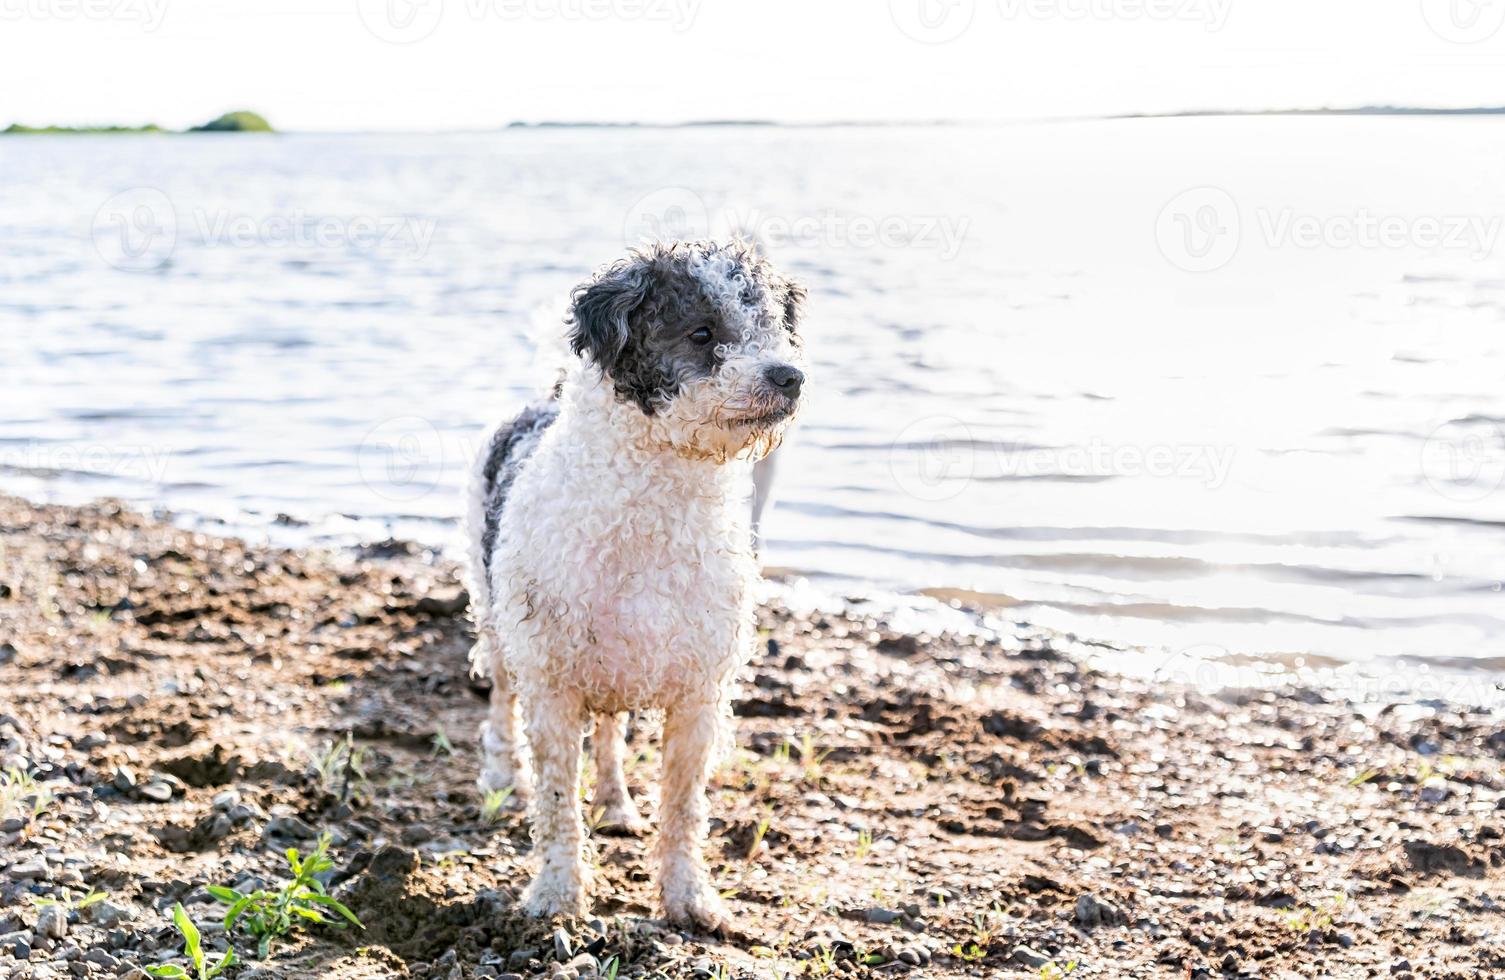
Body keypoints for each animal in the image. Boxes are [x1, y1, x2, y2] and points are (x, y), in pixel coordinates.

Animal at [460, 240, 806, 933]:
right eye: (702, 333)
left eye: (774, 329)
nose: (790, 376)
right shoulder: (552, 683)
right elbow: (556, 801)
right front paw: (556, 894)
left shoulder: (700, 693)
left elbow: (683, 807)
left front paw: (689, 897)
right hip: (497, 621)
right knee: (502, 700)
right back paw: (502, 772)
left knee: (613, 732)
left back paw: (616, 803)